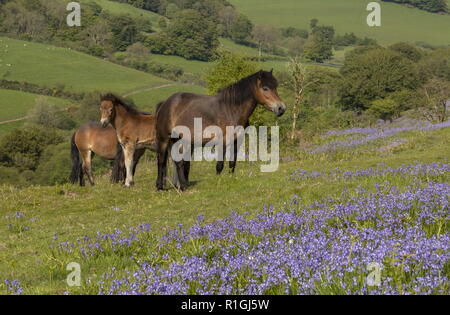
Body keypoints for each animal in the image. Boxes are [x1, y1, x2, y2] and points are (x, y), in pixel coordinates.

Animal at [156, 70, 286, 191]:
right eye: (265, 88)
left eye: (275, 86)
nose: (281, 108)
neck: (231, 109)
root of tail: (165, 104)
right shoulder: (222, 141)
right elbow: (219, 165)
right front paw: (218, 181)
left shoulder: (237, 141)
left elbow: (232, 162)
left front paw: (230, 178)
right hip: (164, 139)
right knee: (161, 161)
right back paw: (161, 187)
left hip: (180, 140)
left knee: (179, 162)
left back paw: (182, 185)